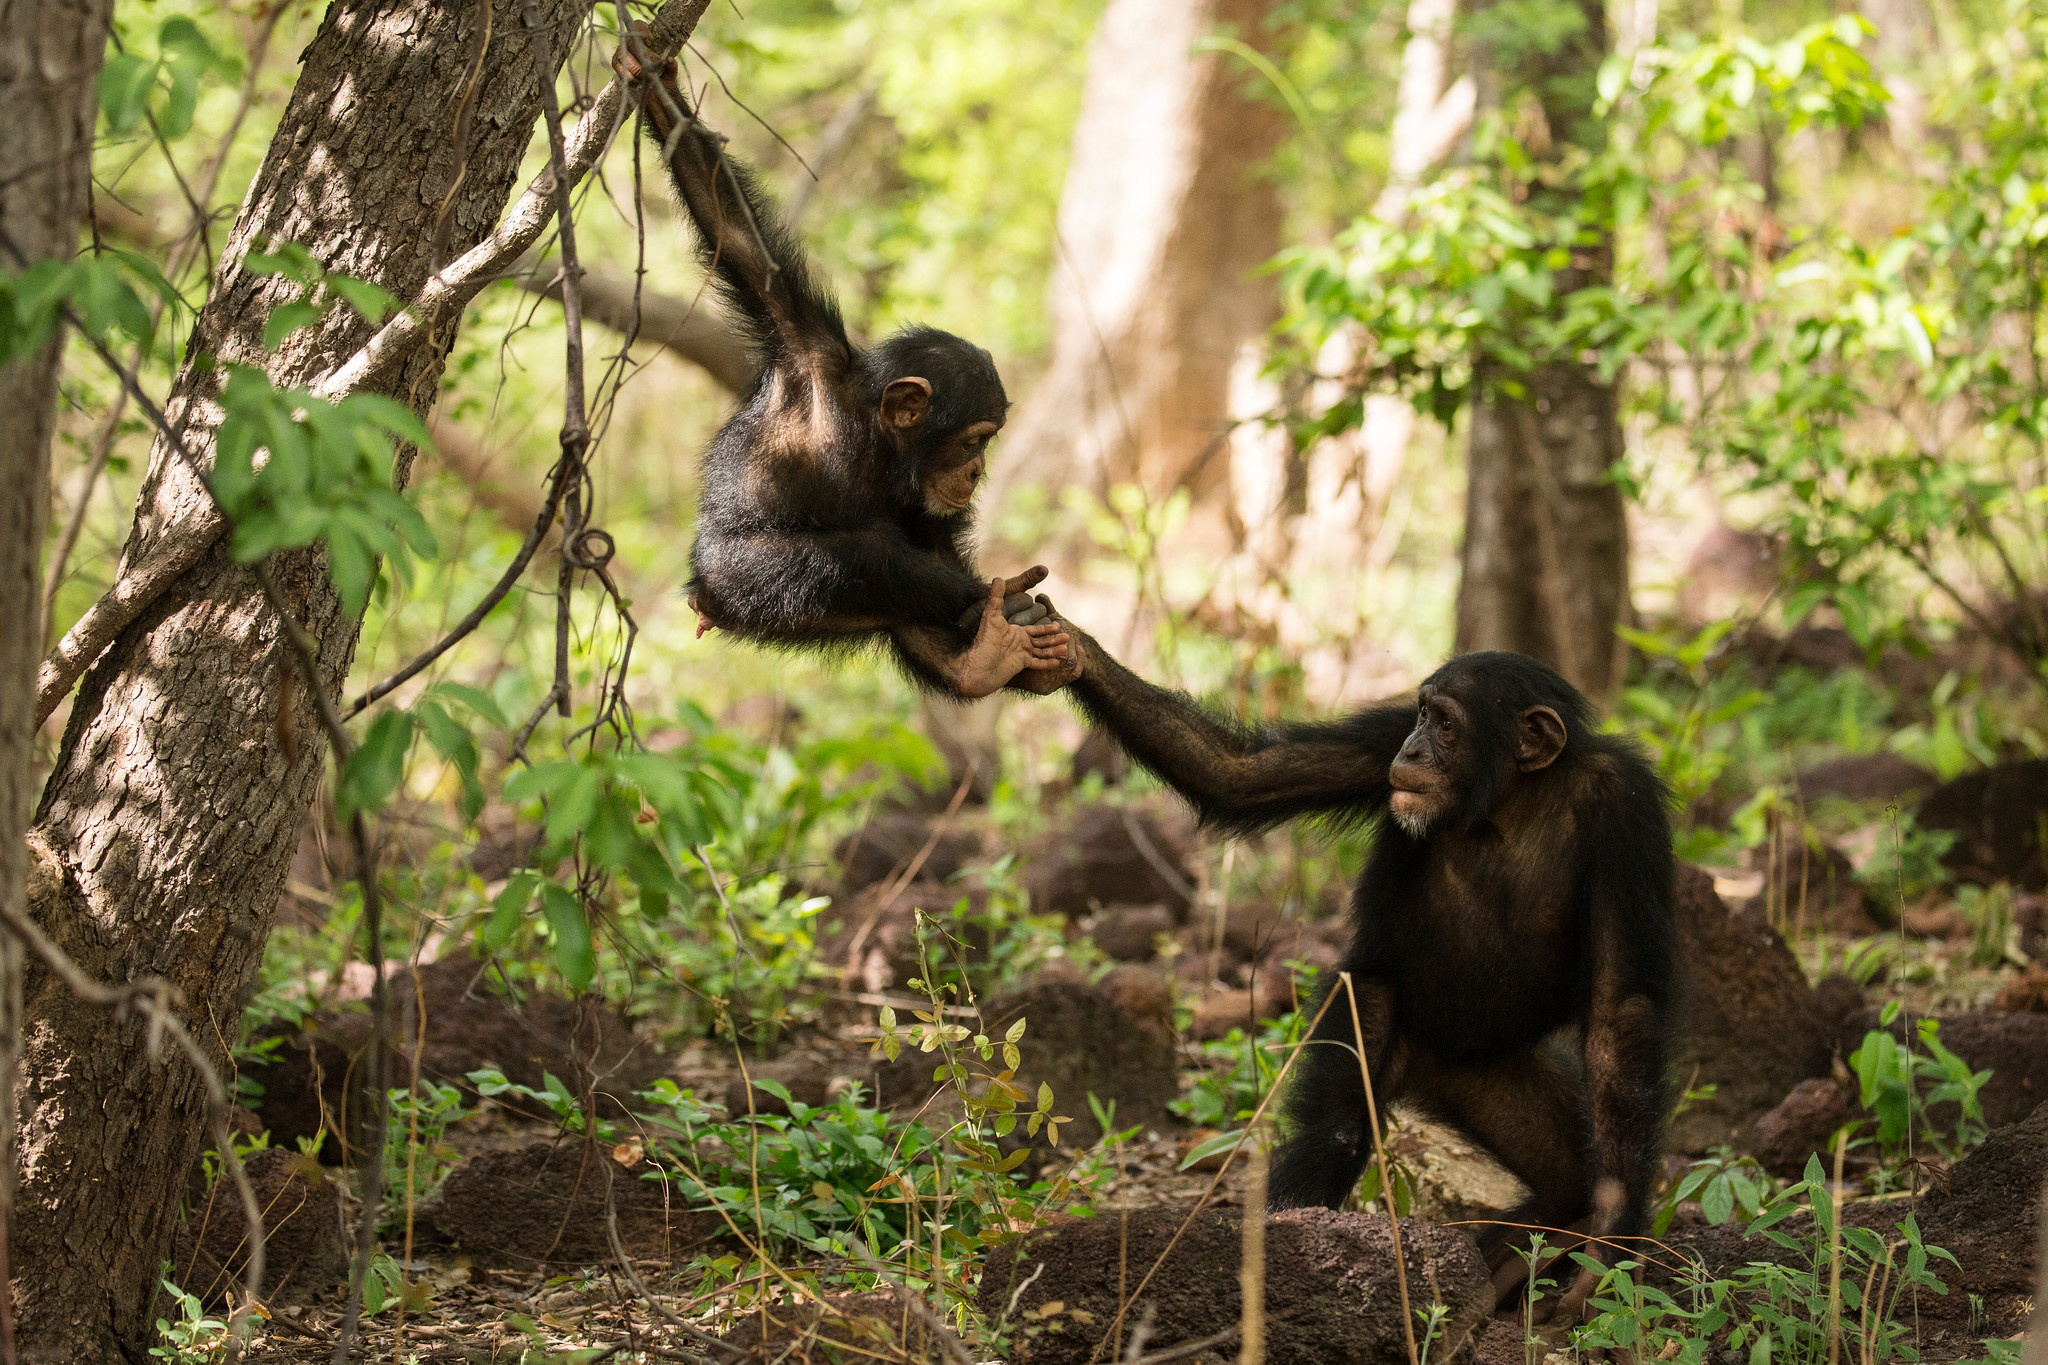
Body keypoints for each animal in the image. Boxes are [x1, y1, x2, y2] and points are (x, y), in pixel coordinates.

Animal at [606, 37, 1073, 699]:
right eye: (974, 440)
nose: (977, 469)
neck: (876, 439)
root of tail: (707, 606)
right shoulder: (807, 351)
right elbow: (737, 235)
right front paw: (653, 79)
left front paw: (657, 78)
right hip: (733, 579)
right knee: (862, 558)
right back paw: (991, 616)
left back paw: (983, 659)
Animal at [1064, 638, 1671, 1309]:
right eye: (1422, 714)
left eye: (1447, 724)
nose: (1414, 750)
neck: (1515, 796)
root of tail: (1434, 1062)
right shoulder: (1382, 741)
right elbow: (1243, 774)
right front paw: (1062, 644)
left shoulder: (1627, 810)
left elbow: (1621, 1006)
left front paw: (1610, 1245)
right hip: (1375, 1007)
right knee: (1339, 1130)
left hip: (1497, 1074)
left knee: (1567, 1182)